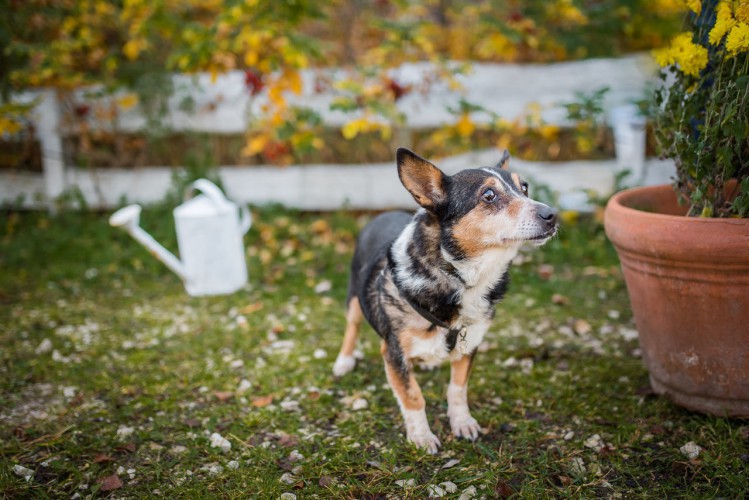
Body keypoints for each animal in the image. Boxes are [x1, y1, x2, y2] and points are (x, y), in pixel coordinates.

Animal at [334, 148, 556, 454]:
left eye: (524, 188)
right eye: (489, 195)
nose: (552, 215)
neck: (461, 277)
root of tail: (382, 214)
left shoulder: (469, 343)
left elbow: (457, 388)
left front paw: (462, 422)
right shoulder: (393, 353)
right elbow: (413, 396)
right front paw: (421, 437)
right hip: (355, 298)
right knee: (352, 326)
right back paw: (344, 361)